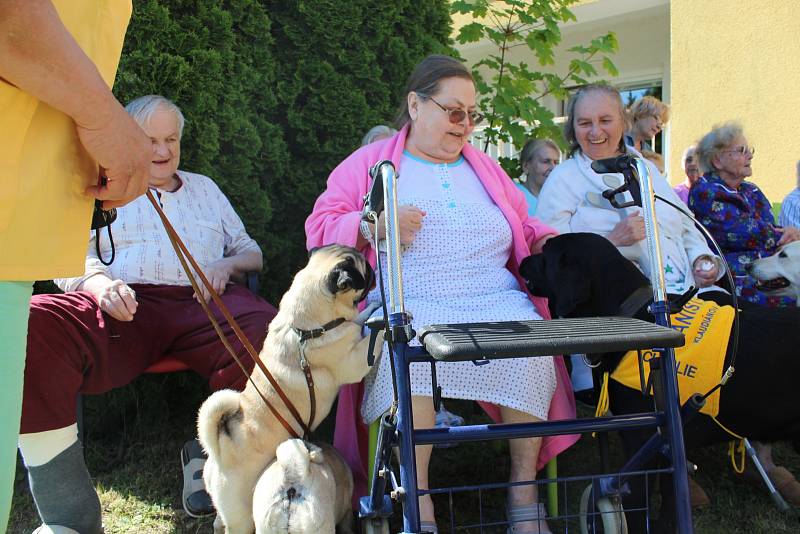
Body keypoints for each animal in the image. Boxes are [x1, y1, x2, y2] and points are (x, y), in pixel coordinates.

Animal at [200, 247, 384, 534]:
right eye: (363, 271)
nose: (373, 271)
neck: (306, 329)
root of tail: (220, 446)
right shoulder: (353, 362)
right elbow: (369, 343)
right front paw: (387, 323)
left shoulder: (348, 325)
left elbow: (358, 322)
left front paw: (373, 310)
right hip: (242, 514)